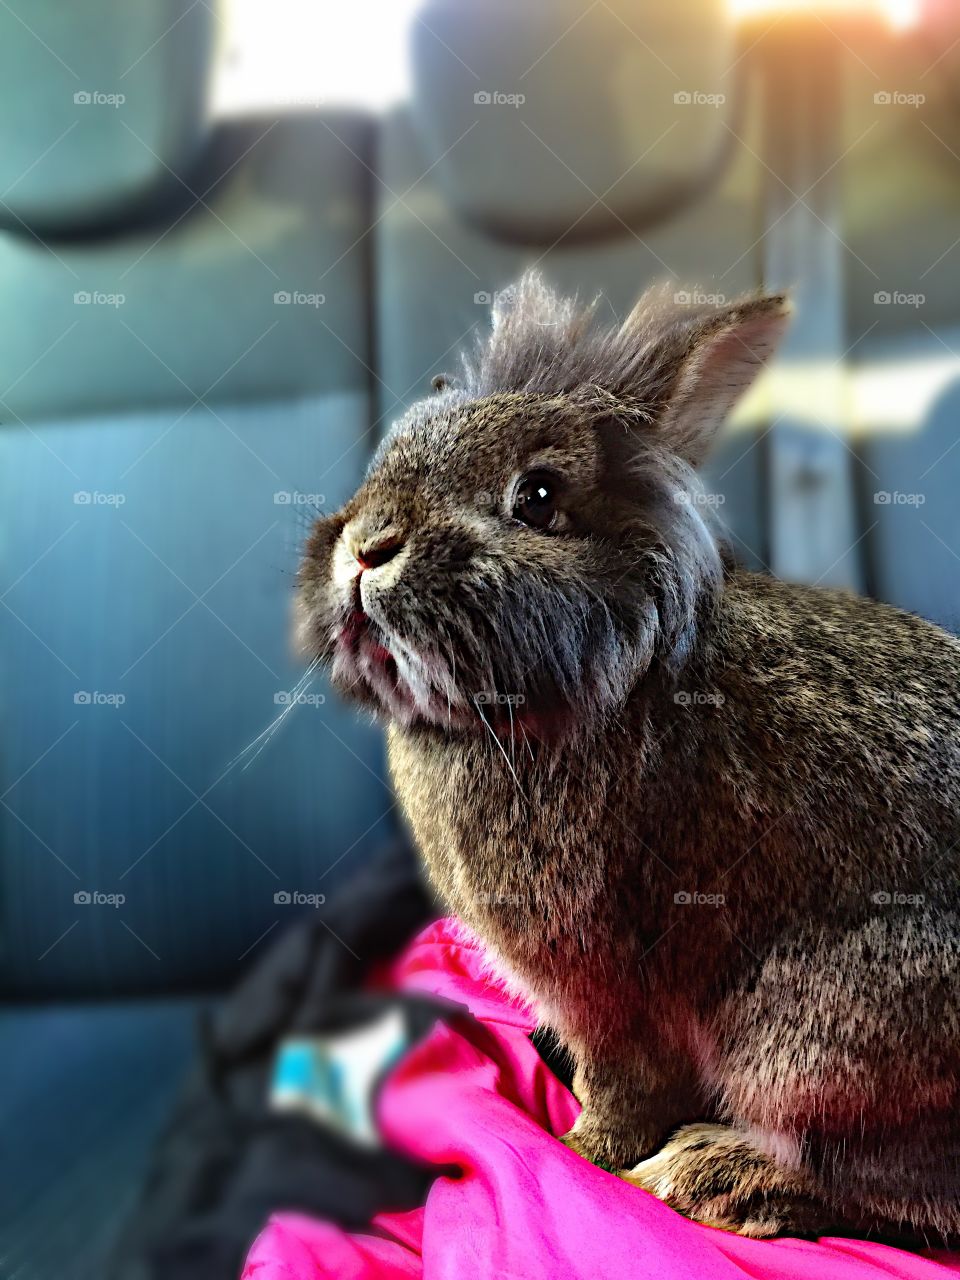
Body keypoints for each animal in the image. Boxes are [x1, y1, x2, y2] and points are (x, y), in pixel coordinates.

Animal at [296, 272, 960, 1240]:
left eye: (537, 497)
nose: (367, 546)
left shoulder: (605, 984)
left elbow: (622, 1083)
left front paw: (581, 1150)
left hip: (814, 1037)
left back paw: (712, 1177)